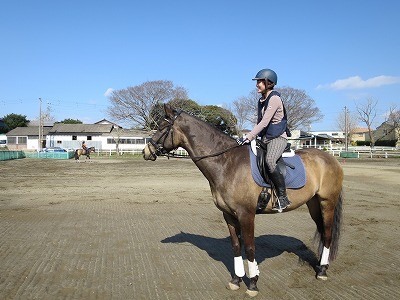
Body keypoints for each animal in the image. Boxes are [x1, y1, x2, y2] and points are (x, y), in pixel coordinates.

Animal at [142, 104, 342, 296]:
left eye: (162, 127)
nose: (146, 151)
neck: (227, 163)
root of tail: (330, 158)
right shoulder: (229, 215)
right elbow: (236, 246)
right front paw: (236, 280)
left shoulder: (246, 215)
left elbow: (250, 248)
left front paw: (253, 283)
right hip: (314, 204)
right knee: (322, 231)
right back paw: (320, 265)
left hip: (327, 203)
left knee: (328, 233)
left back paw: (322, 271)